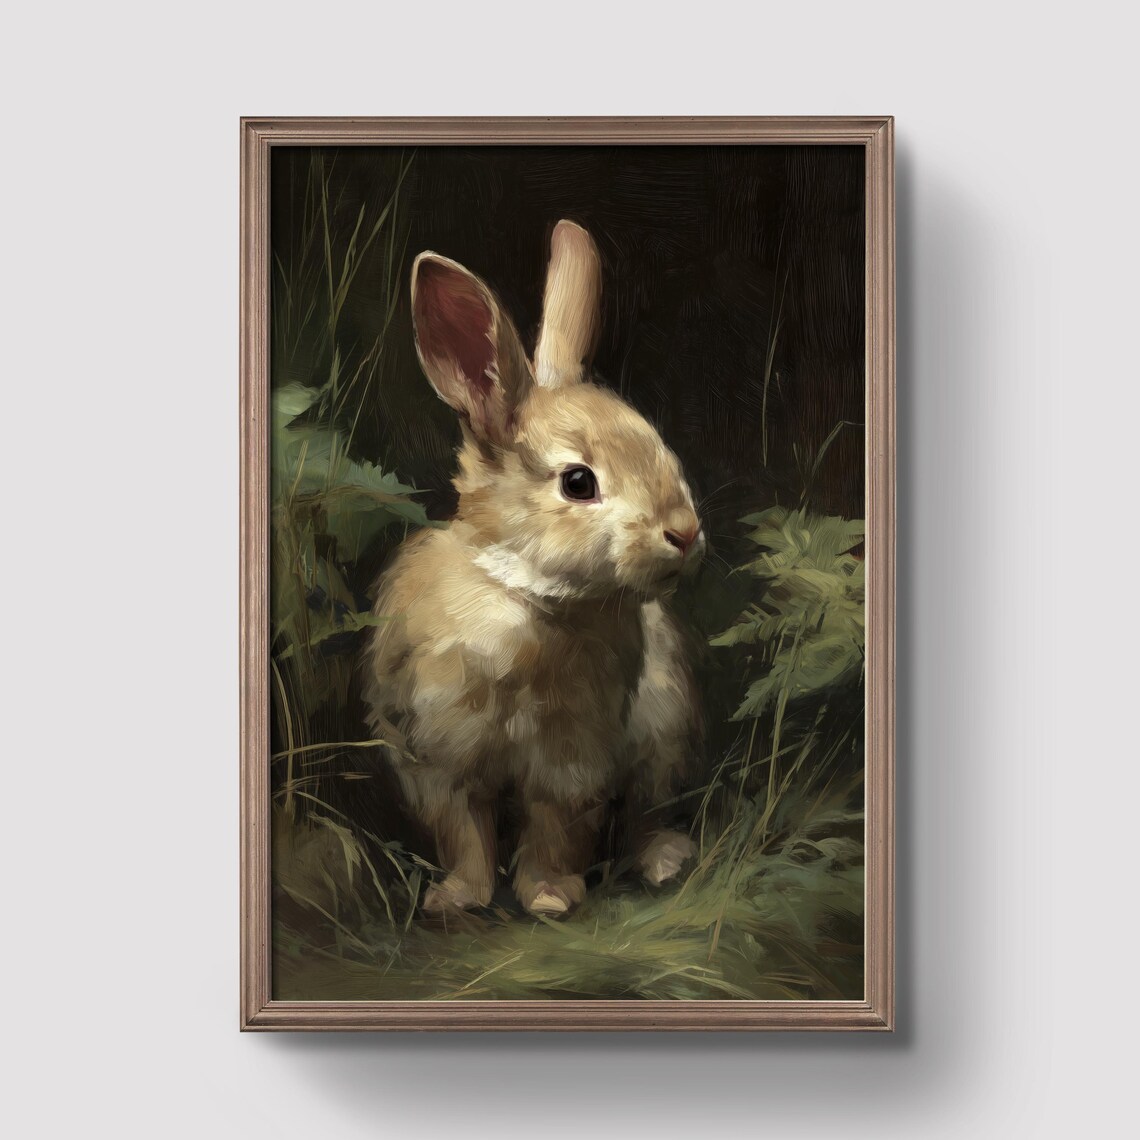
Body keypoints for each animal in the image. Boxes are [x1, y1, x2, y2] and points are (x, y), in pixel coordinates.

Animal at [362, 220, 705, 917]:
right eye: (578, 482)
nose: (685, 534)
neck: (521, 594)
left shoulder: (575, 758)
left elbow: (557, 828)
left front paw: (548, 899)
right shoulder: (437, 755)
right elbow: (464, 832)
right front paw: (456, 900)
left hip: (664, 734)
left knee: (644, 816)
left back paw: (663, 860)